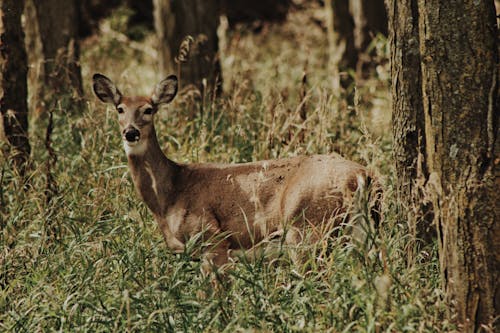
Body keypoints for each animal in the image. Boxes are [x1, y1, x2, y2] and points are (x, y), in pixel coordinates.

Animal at [92, 72, 380, 270]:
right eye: (119, 109)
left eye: (148, 109)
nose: (130, 132)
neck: (170, 195)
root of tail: (361, 176)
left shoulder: (213, 239)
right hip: (361, 229)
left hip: (307, 229)